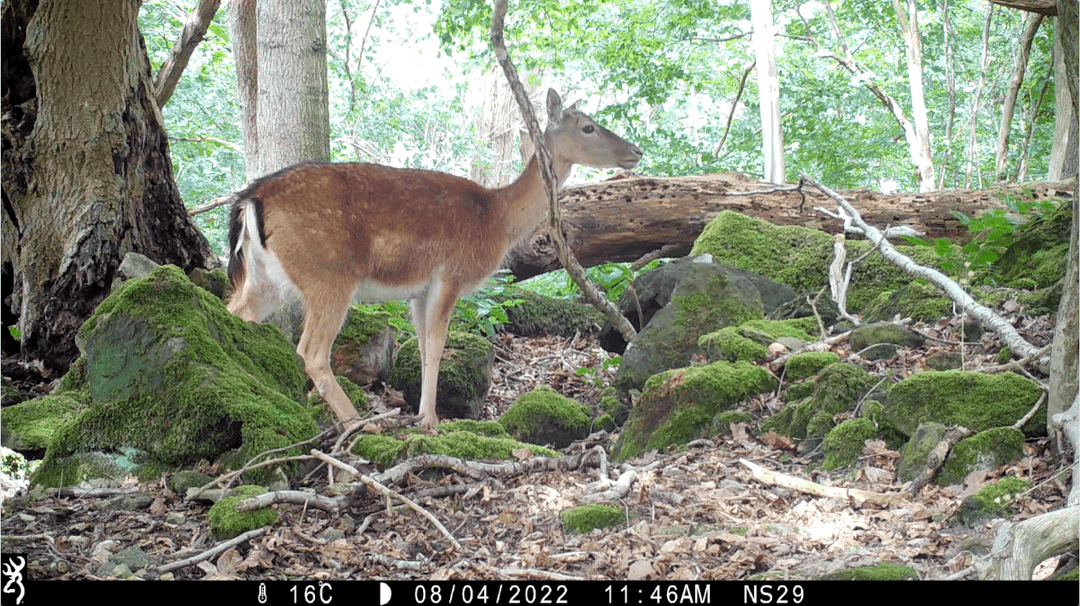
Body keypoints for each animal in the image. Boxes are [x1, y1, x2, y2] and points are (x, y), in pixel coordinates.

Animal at [222, 89, 635, 429]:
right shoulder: (450, 275)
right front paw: (432, 420)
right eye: (588, 127)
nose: (636, 151)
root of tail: (250, 197)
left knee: (234, 312)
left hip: (265, 278)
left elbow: (421, 347)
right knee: (312, 352)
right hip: (328, 274)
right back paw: (360, 423)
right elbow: (438, 345)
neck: (497, 220)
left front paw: (423, 413)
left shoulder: (418, 290)